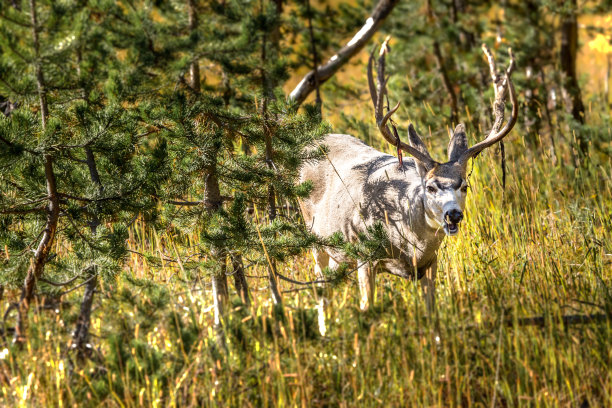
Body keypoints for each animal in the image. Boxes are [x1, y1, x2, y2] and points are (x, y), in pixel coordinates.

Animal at [298, 39, 520, 336]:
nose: (453, 214)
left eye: (464, 185)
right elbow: (367, 309)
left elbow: (432, 314)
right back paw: (325, 333)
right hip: (314, 237)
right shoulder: (364, 252)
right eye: (431, 187)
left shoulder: (430, 263)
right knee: (320, 287)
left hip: (338, 250)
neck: (408, 242)